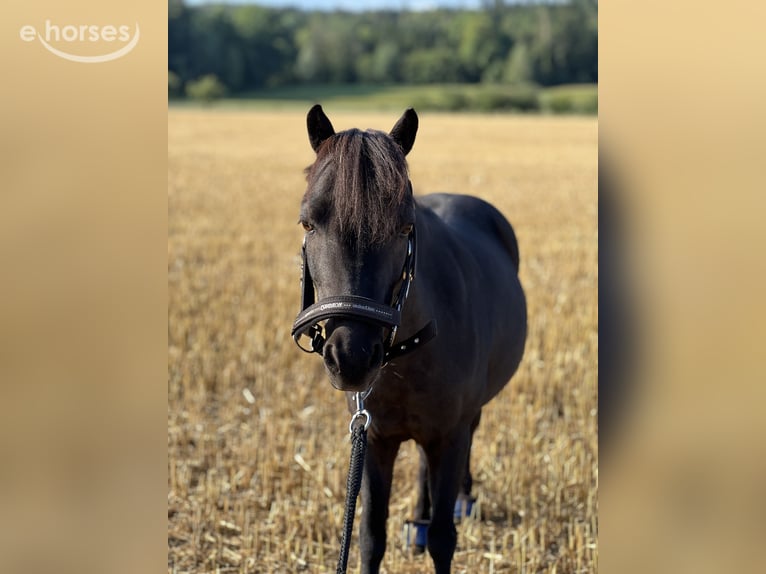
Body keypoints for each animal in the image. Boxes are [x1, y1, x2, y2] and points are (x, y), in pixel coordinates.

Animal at [292, 105, 527, 574]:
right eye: (308, 222)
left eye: (404, 227)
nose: (351, 358)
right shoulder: (374, 439)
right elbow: (370, 536)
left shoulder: (450, 435)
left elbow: (443, 538)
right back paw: (416, 519)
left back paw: (464, 499)